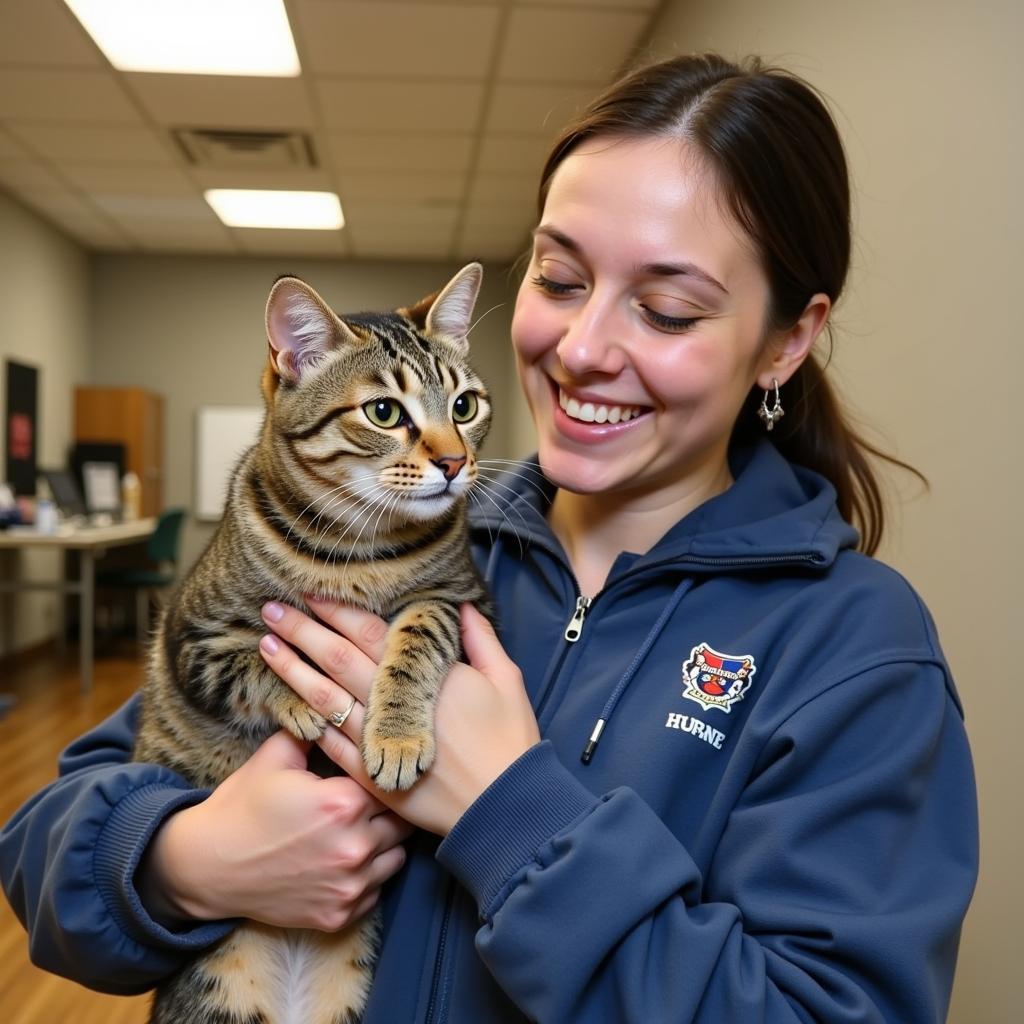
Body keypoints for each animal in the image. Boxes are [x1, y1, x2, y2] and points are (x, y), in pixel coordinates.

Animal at [135, 266, 491, 1024]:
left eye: (466, 404)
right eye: (384, 413)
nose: (455, 461)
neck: (358, 552)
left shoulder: (465, 602)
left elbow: (419, 631)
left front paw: (396, 735)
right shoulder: (190, 637)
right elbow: (253, 661)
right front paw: (304, 700)